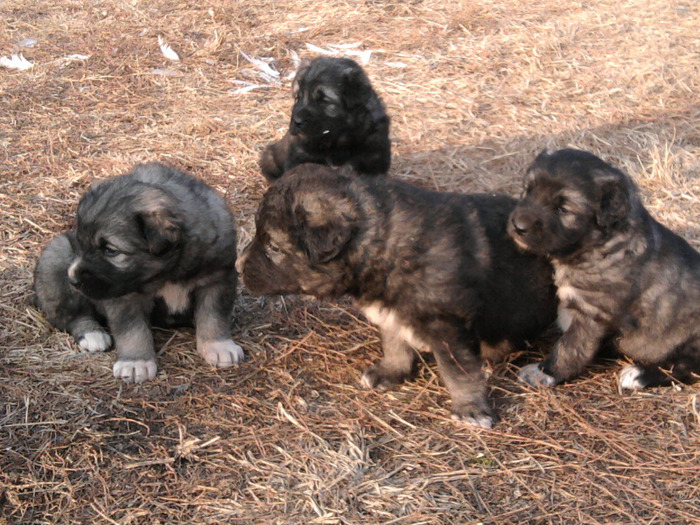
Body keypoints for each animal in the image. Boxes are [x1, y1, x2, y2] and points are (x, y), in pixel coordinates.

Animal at [34, 162, 245, 382]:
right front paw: (136, 362)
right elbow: (132, 329)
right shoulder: (124, 294)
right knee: (69, 316)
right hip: (56, 257)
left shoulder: (217, 278)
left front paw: (218, 345)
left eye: (110, 250)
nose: (73, 280)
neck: (168, 273)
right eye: (80, 244)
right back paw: (93, 334)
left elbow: (214, 315)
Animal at [235, 164, 556, 426]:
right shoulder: (390, 312)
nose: (237, 266)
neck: (386, 245)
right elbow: (395, 343)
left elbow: (459, 371)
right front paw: (392, 371)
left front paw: (470, 407)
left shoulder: (448, 325)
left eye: (274, 246)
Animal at [506, 147, 700, 388]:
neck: (596, 246)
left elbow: (569, 347)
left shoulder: (593, 314)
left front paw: (545, 371)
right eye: (528, 191)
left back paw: (638, 375)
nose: (518, 226)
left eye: (562, 209)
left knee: (685, 368)